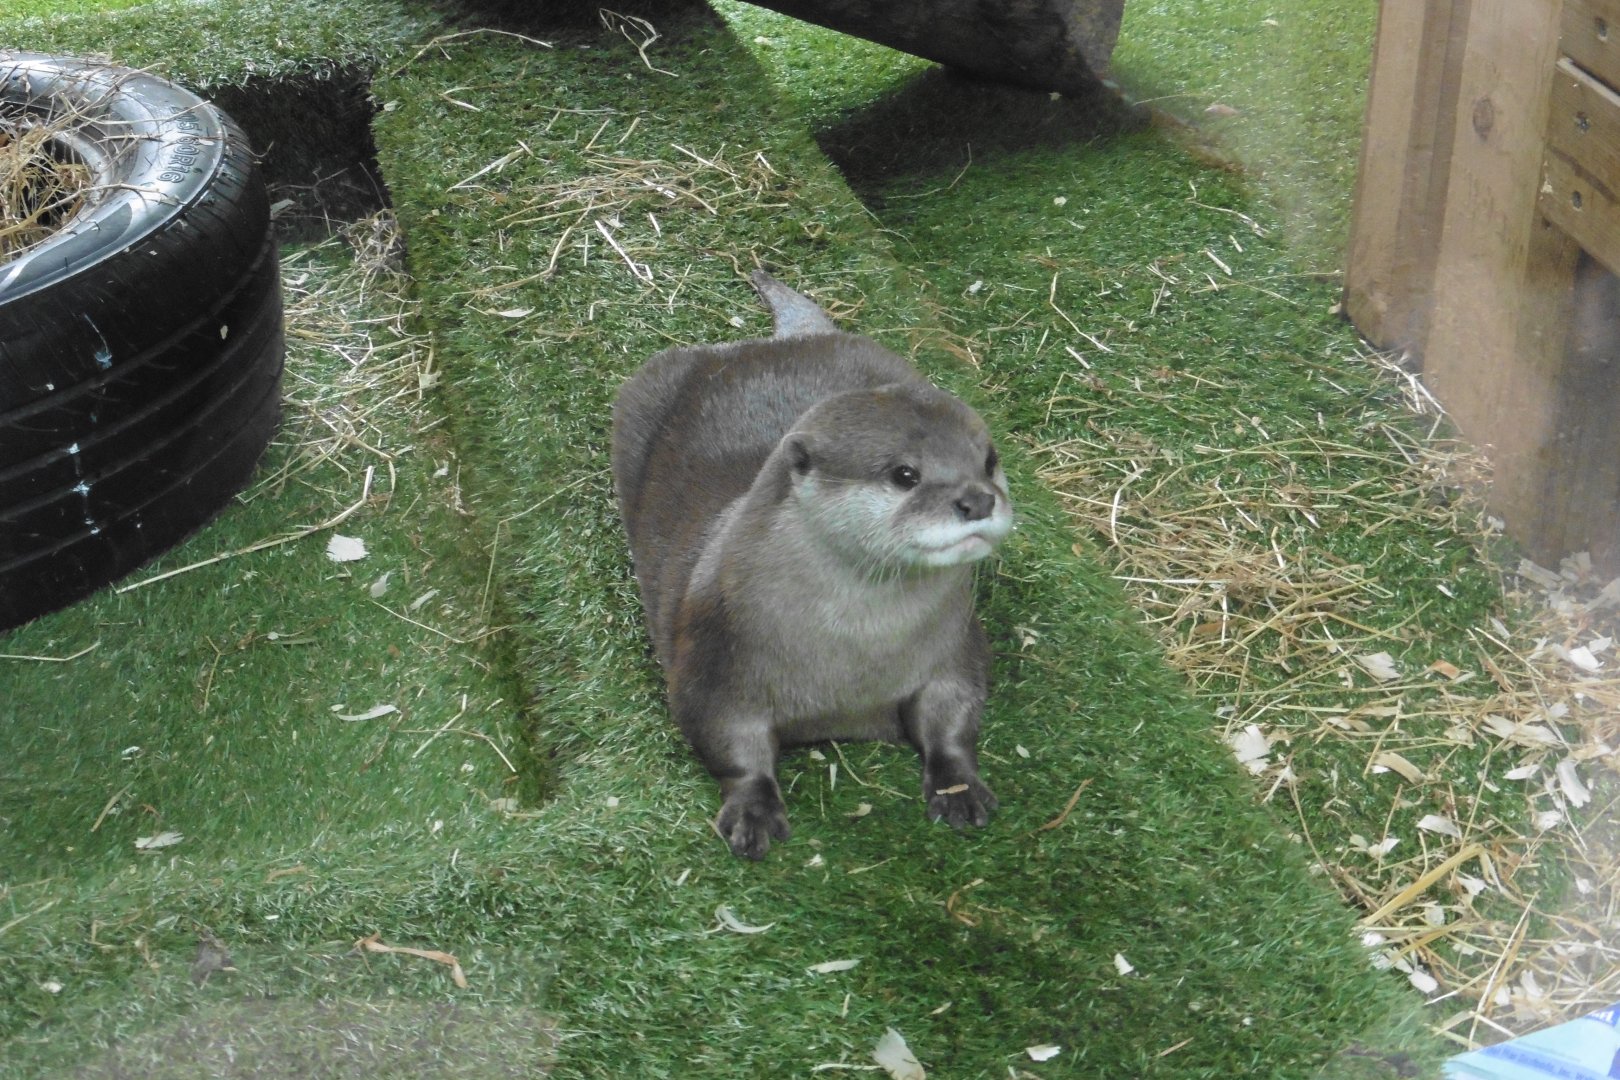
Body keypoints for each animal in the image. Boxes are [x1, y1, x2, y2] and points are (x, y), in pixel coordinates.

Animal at [612, 272, 1013, 859]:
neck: (851, 654)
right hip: (642, 388)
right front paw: (753, 811)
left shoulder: (956, 648)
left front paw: (958, 786)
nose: (978, 499)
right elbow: (728, 743)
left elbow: (955, 710)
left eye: (988, 461)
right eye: (905, 474)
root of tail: (785, 341)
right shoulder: (714, 665)